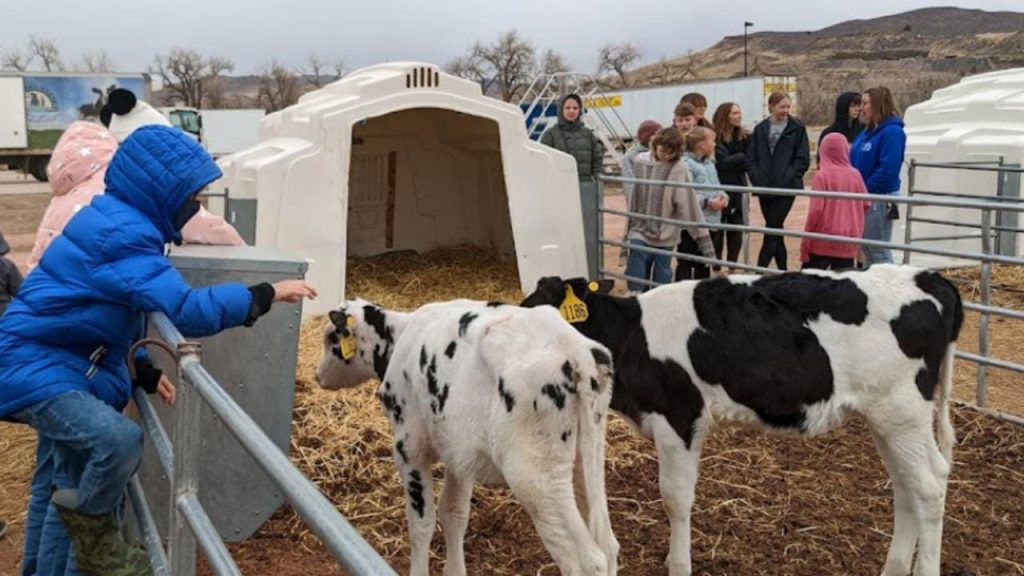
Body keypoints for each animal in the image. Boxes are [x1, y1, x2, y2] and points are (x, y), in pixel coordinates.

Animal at [315, 297, 618, 573]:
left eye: (331, 337)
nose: (318, 376)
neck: (401, 336)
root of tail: (577, 354)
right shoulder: (458, 453)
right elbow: (453, 513)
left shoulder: (409, 448)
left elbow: (421, 523)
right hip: (585, 462)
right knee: (608, 545)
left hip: (537, 477)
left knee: (586, 559)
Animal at [524, 264, 962, 573]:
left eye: (546, 314)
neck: (634, 335)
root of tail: (929, 277)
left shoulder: (679, 419)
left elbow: (675, 499)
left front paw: (678, 564)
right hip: (887, 418)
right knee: (908, 483)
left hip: (901, 410)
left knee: (928, 486)